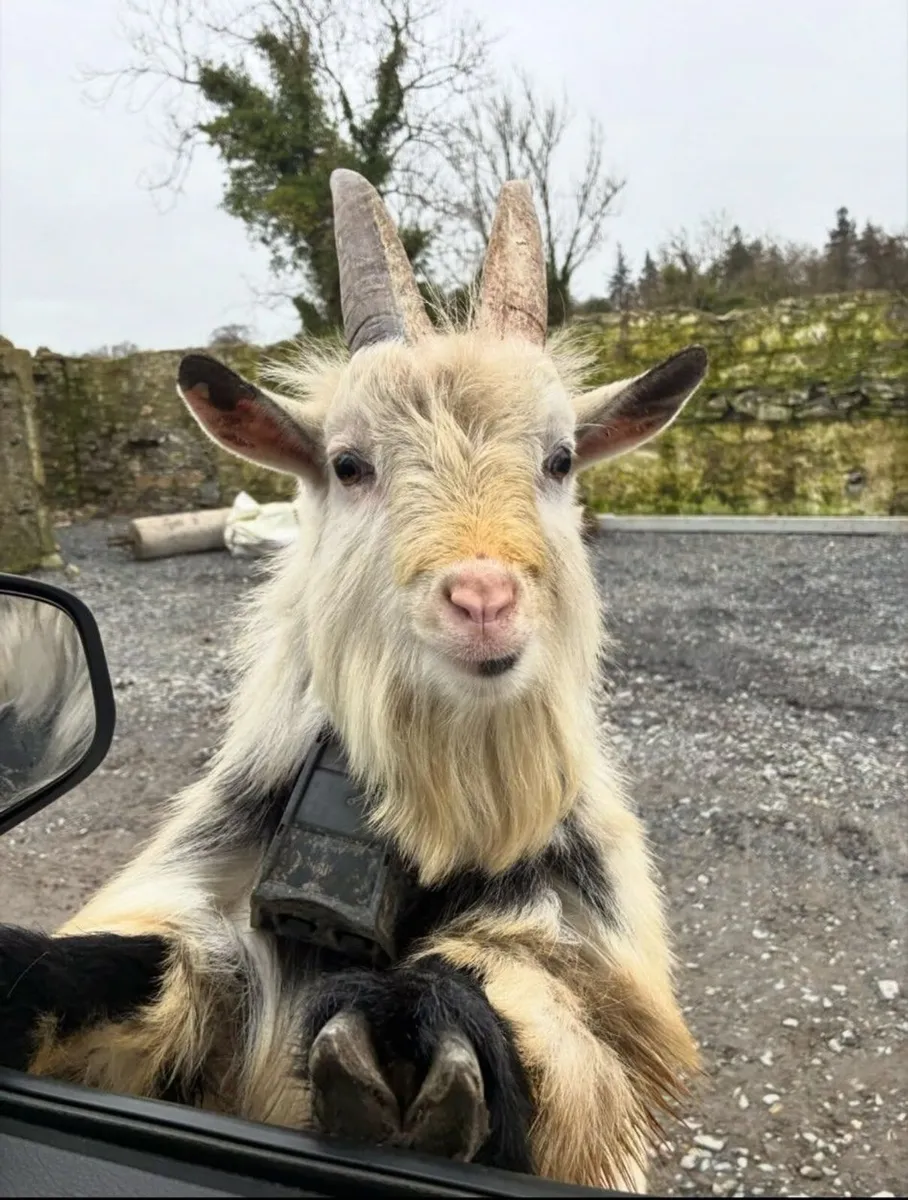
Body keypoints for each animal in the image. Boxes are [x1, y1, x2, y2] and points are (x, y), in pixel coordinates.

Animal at [0, 171, 708, 1192]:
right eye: (348, 462)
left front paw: (423, 1038)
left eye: (560, 458)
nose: (484, 597)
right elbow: (143, 969)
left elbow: (561, 1025)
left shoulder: (592, 974)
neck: (435, 805)